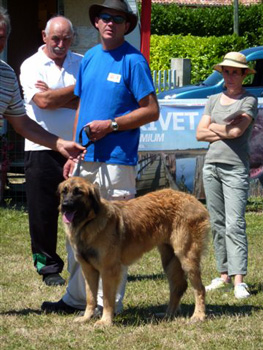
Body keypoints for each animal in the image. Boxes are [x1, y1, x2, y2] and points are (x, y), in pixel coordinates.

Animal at [59, 176, 210, 326]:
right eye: (64, 192)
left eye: (78, 192)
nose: (65, 205)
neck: (88, 222)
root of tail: (192, 199)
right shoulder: (88, 270)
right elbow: (90, 297)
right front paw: (86, 317)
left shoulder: (109, 269)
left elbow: (107, 299)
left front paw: (105, 321)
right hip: (169, 260)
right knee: (178, 287)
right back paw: (168, 314)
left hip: (186, 256)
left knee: (199, 288)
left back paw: (198, 316)